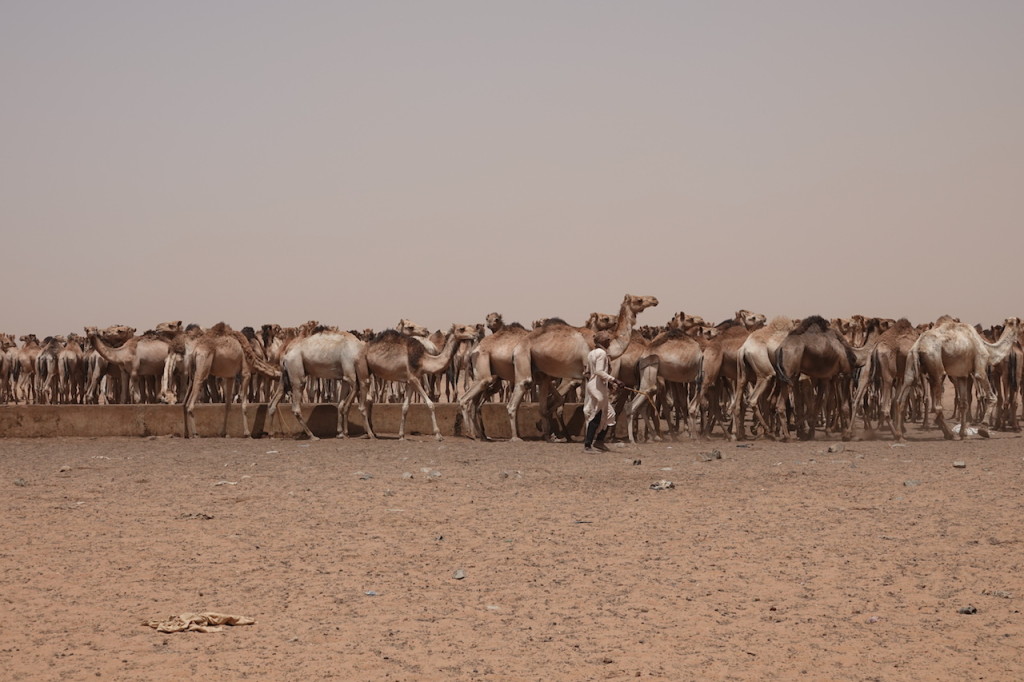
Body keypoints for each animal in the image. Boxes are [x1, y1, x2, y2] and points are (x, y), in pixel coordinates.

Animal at [507, 292, 659, 440]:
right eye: (639, 300)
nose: (654, 300)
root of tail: (519, 345)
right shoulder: (588, 370)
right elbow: (588, 406)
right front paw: (589, 435)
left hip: (541, 371)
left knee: (544, 401)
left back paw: (548, 436)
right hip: (523, 355)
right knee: (519, 394)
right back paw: (516, 437)